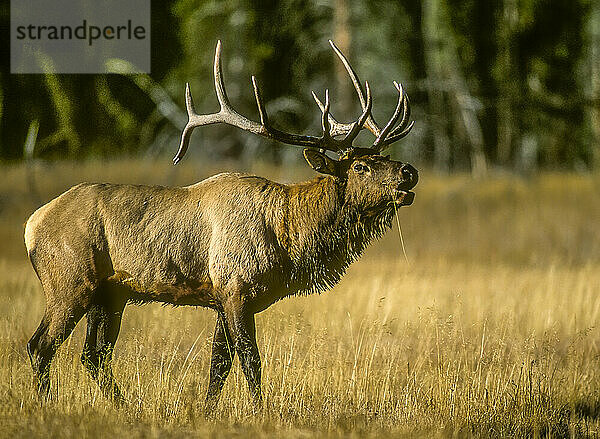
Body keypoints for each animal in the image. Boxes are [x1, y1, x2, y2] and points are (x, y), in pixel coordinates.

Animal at [23, 39, 418, 410]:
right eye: (360, 167)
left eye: (384, 157)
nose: (408, 172)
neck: (289, 238)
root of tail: (32, 224)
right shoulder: (236, 289)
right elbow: (250, 360)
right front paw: (261, 411)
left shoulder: (220, 298)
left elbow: (219, 365)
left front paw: (206, 412)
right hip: (70, 283)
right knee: (41, 345)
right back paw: (48, 404)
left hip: (111, 293)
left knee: (93, 354)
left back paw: (125, 407)